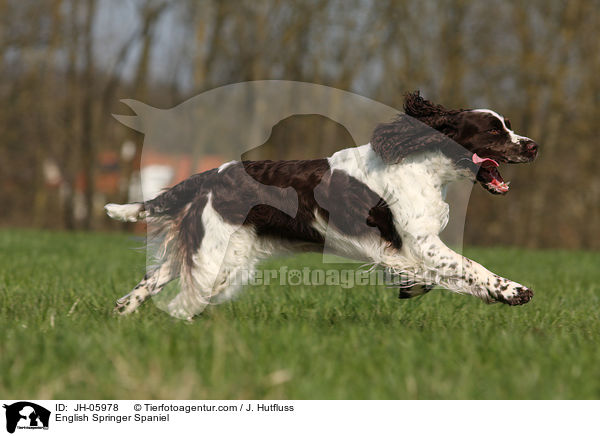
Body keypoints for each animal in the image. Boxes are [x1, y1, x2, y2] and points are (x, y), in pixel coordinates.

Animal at [105, 92, 536, 318]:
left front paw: (414, 288)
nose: (533, 146)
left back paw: (124, 314)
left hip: (214, 253)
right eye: (494, 130)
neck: (422, 164)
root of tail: (211, 175)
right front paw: (514, 290)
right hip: (217, 259)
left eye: (509, 125)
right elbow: (470, 266)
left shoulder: (412, 250)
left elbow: (442, 276)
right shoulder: (421, 243)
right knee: (181, 303)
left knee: (154, 281)